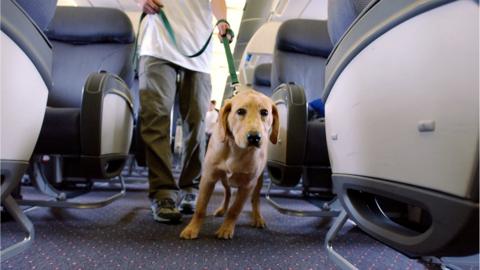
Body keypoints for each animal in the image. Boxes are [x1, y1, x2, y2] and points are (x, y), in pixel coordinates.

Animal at [180, 89, 280, 240]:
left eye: (264, 112)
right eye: (240, 111)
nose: (254, 138)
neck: (236, 149)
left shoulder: (247, 185)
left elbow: (235, 210)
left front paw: (226, 228)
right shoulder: (208, 178)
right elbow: (200, 208)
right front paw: (192, 228)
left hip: (258, 181)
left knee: (255, 200)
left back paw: (257, 217)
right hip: (224, 179)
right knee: (227, 193)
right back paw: (222, 209)